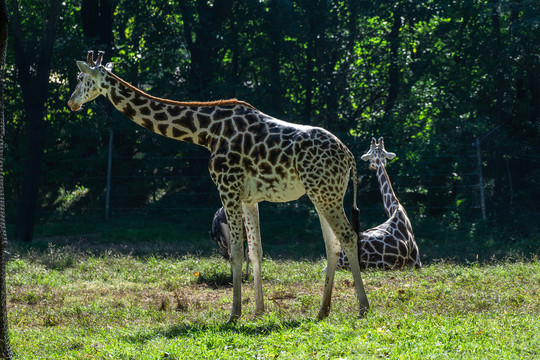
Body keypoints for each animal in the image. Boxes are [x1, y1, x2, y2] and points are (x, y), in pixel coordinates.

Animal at [67, 50, 372, 320]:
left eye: (81, 78)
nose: (71, 102)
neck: (206, 132)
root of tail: (348, 155)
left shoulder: (227, 188)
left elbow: (236, 252)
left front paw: (234, 314)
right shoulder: (249, 198)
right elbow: (256, 252)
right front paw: (258, 311)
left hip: (325, 193)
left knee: (348, 236)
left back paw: (362, 307)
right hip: (322, 193)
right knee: (332, 244)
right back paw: (323, 311)